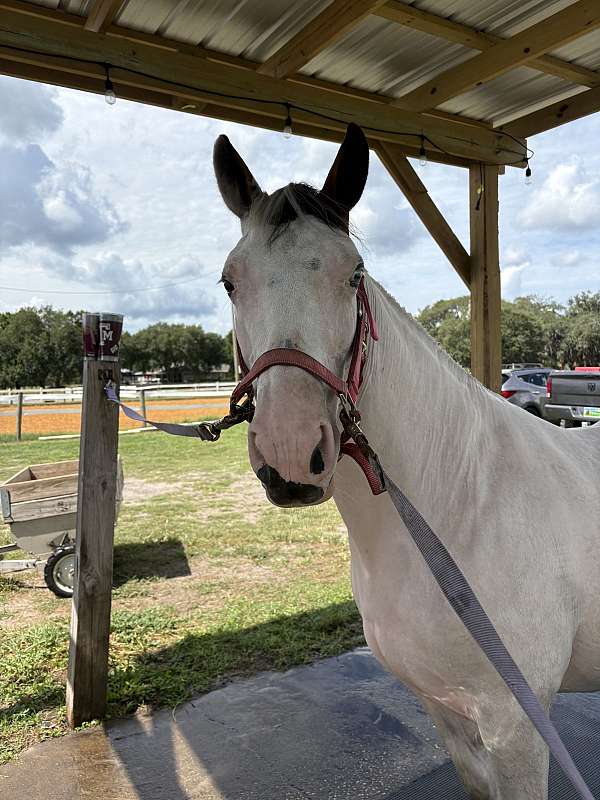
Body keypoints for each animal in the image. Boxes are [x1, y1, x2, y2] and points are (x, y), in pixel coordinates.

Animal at [212, 122, 600, 799]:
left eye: (353, 273)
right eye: (231, 281)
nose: (290, 450)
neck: (458, 513)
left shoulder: (520, 731)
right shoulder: (449, 716)